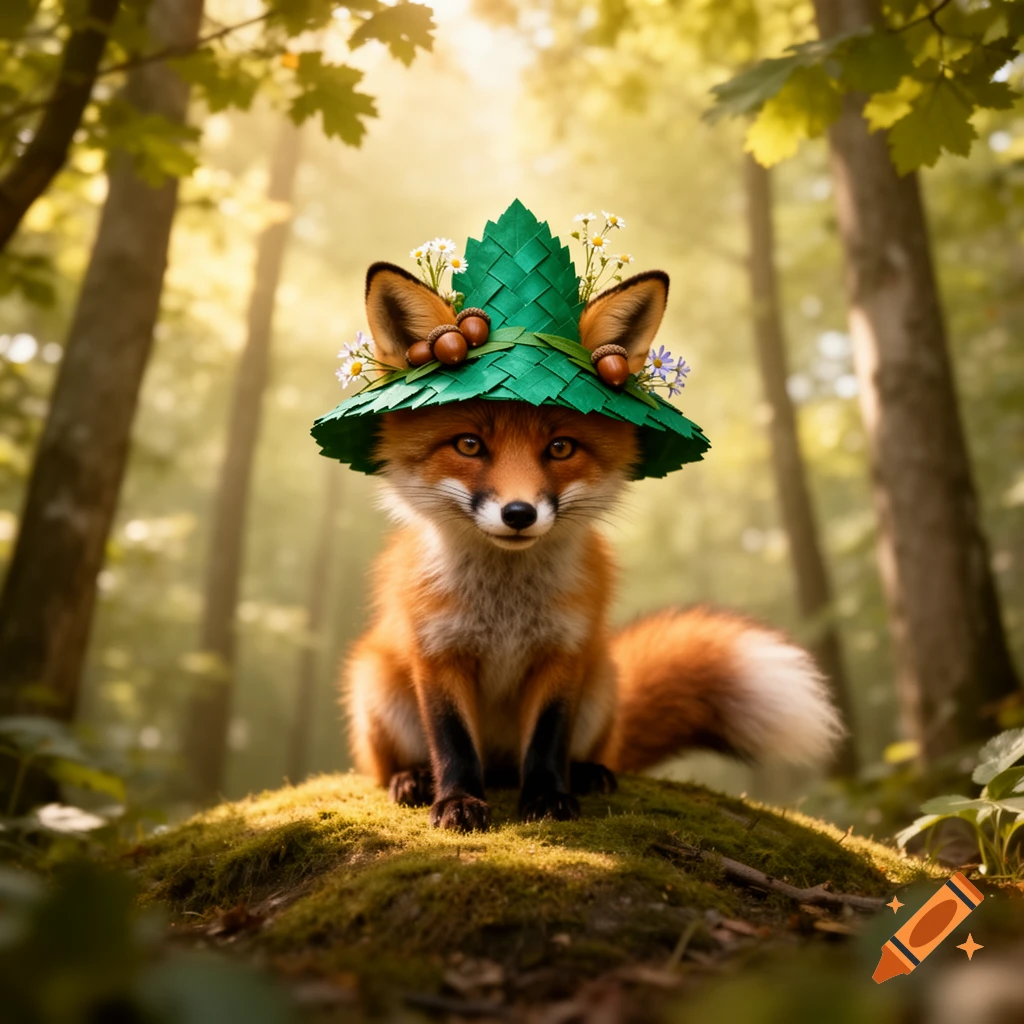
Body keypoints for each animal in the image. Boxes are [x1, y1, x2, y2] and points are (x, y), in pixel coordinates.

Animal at [343, 262, 845, 832]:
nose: (520, 514)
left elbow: (547, 741)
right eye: (469, 444)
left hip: (602, 682)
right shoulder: (436, 652)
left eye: (560, 448)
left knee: (582, 754)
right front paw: (458, 801)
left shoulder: (566, 650)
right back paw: (412, 778)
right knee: (388, 766)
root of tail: (501, 766)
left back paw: (585, 773)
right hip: (378, 686)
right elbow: (452, 743)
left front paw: (547, 798)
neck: (504, 612)